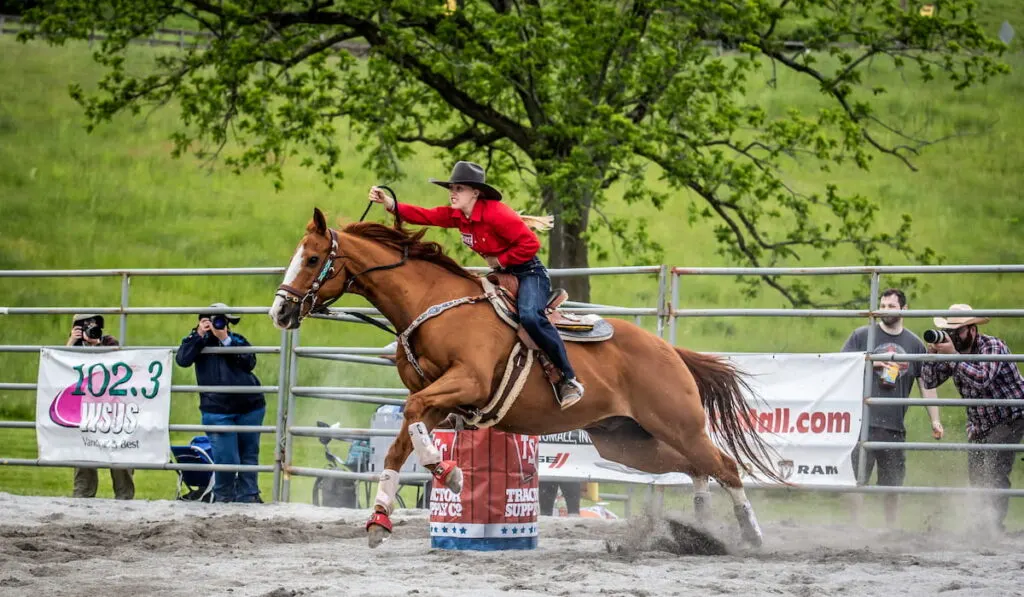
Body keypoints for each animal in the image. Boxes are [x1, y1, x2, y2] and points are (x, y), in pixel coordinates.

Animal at [268, 207, 778, 548]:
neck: (433, 305)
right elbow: (400, 444)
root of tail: (669, 350)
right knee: (696, 468)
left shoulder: (465, 383)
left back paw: (751, 536)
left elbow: (411, 421)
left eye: (312, 259)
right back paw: (701, 531)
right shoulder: (436, 399)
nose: (279, 312)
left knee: (724, 465)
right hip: (626, 441)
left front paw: (451, 475)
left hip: (678, 423)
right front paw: (380, 518)